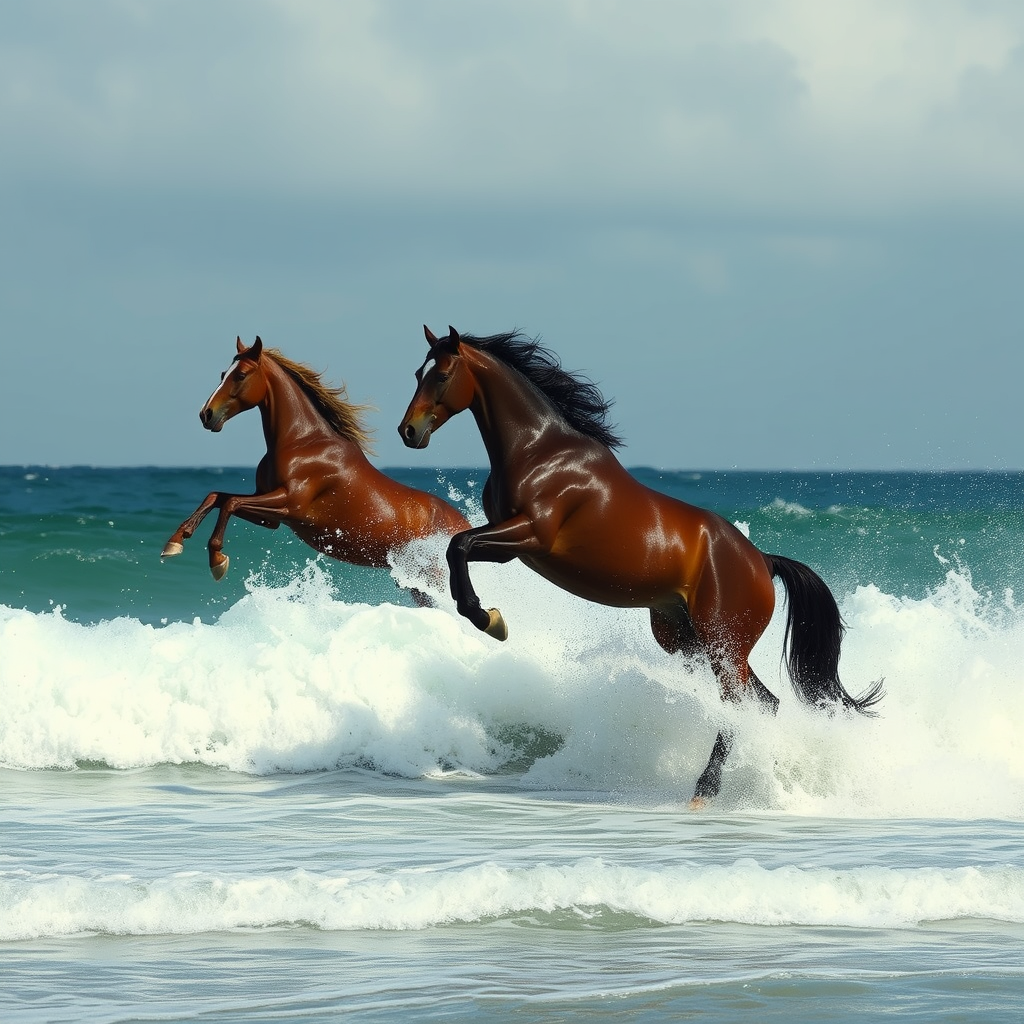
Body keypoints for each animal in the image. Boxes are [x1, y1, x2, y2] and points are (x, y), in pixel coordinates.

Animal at [162, 336, 470, 601]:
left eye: (241, 375)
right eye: (223, 373)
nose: (206, 414)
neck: (302, 442)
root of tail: (465, 526)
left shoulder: (288, 504)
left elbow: (230, 503)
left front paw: (217, 560)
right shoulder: (271, 516)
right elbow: (216, 497)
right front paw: (174, 543)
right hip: (419, 585)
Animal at [398, 326, 883, 805]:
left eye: (442, 375)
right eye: (418, 373)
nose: (408, 430)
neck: (541, 452)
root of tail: (761, 561)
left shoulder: (529, 535)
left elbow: (458, 546)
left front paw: (488, 619)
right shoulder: (510, 543)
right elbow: (456, 548)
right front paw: (486, 616)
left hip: (723, 645)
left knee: (741, 704)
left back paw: (707, 790)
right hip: (687, 640)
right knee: (763, 703)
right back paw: (769, 775)